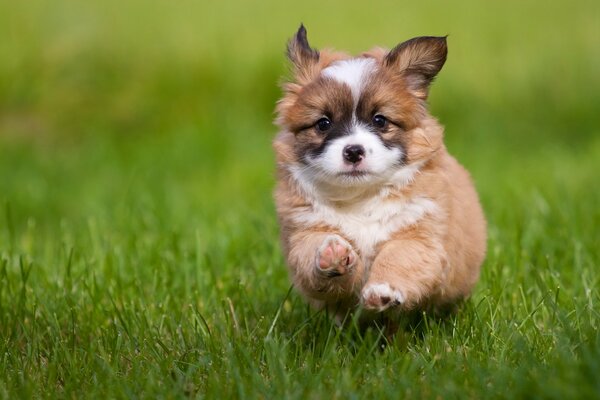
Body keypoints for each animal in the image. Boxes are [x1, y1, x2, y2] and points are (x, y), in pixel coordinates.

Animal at [274, 25, 486, 322]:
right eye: (323, 123)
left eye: (380, 120)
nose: (353, 151)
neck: (361, 198)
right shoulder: (303, 231)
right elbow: (312, 251)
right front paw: (332, 253)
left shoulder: (419, 237)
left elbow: (398, 258)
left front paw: (382, 291)